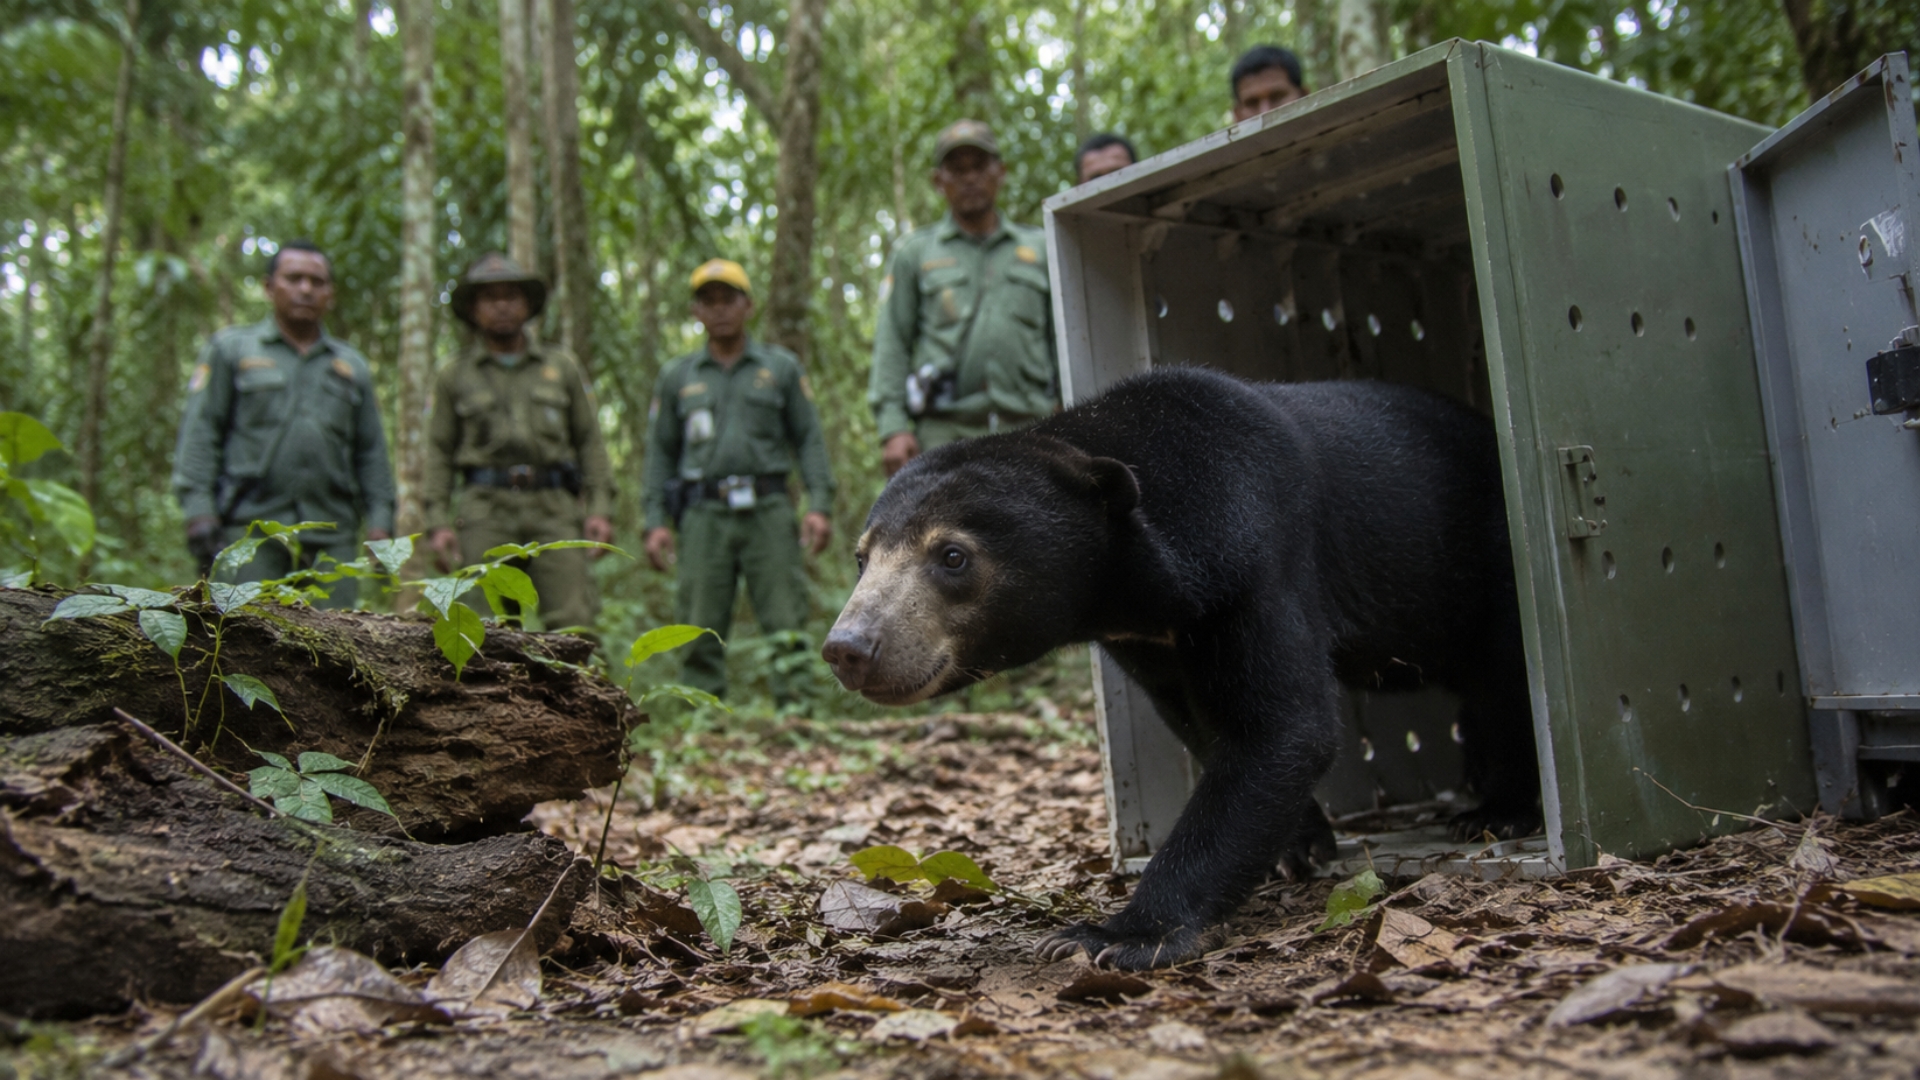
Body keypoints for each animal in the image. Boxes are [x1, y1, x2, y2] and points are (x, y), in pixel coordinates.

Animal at [821, 365, 1541, 970]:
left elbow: (1283, 727)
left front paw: (1112, 936)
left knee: (1507, 683)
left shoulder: (1256, 562)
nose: (849, 648)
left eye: (952, 556)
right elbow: (1206, 722)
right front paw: (1298, 844)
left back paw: (1497, 811)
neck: (1135, 591)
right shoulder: (1148, 640)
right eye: (862, 557)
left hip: (1488, 560)